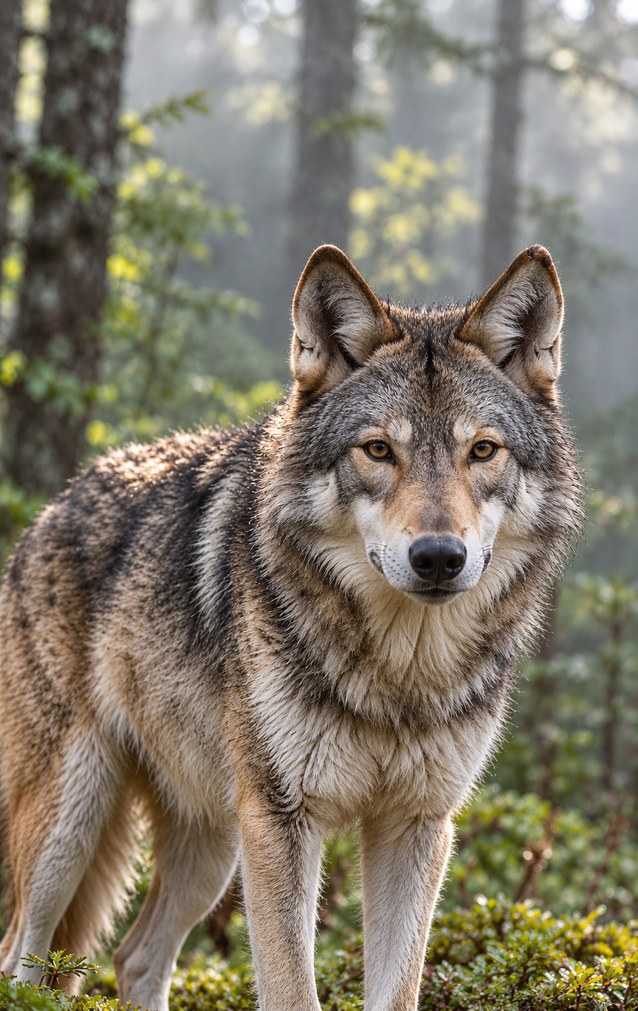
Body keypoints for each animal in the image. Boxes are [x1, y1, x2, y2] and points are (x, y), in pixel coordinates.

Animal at [0, 243, 580, 1011]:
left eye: (482, 451)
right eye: (377, 450)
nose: (437, 557)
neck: (399, 674)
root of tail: (54, 503)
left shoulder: (416, 827)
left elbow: (396, 991)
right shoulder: (281, 822)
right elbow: (291, 988)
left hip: (213, 847)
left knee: (136, 956)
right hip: (72, 828)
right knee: (21, 955)